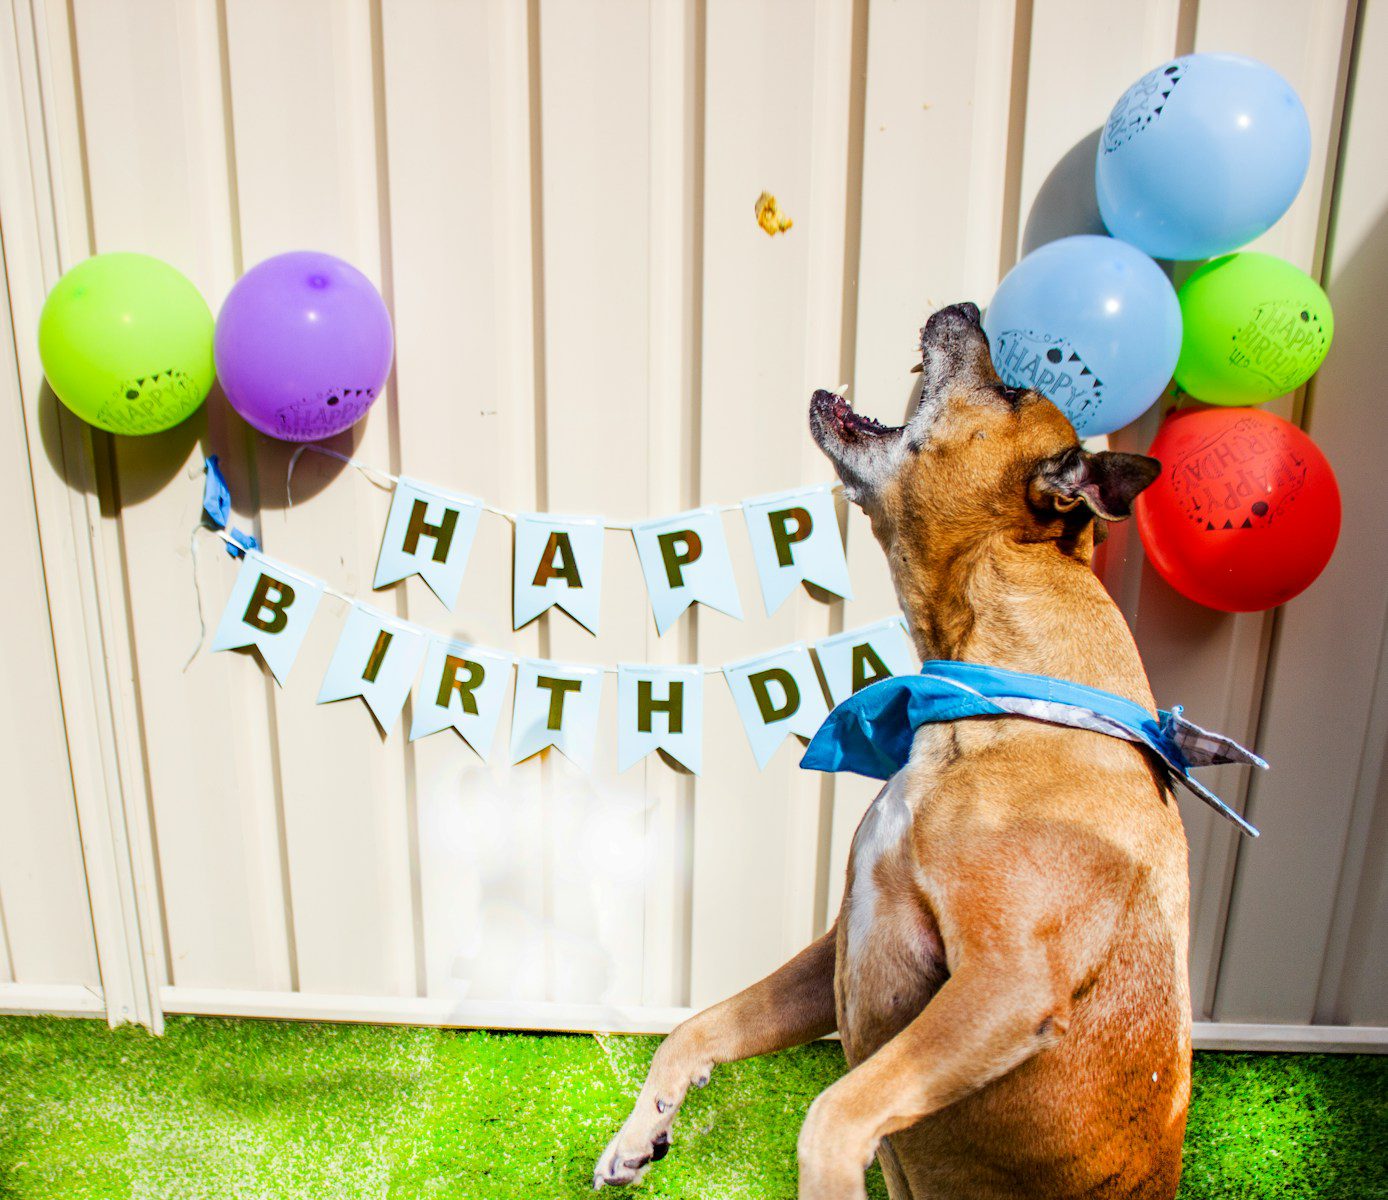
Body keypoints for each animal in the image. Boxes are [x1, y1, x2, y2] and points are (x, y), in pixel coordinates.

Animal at [591, 303, 1188, 1193]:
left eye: (1015, 391)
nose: (966, 307)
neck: (992, 690)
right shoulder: (840, 942)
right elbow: (695, 1027)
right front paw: (641, 1130)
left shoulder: (1007, 983)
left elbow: (832, 1115)